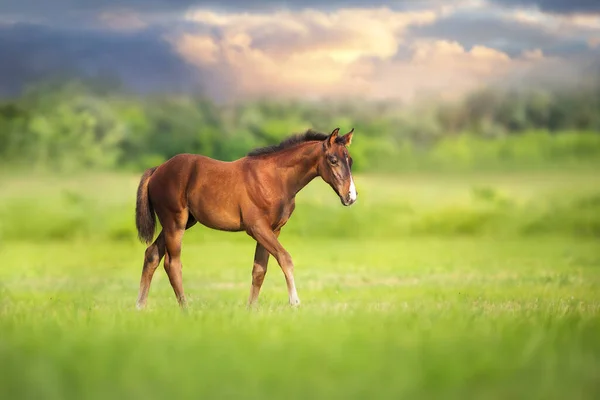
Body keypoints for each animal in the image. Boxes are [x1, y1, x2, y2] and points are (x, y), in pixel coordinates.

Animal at [135, 128, 356, 310]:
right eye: (333, 159)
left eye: (350, 160)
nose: (351, 197)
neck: (274, 179)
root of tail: (158, 169)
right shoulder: (257, 227)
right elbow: (285, 258)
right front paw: (295, 302)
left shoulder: (273, 229)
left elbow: (259, 270)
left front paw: (251, 310)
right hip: (175, 222)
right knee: (172, 263)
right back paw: (185, 309)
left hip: (182, 222)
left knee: (152, 254)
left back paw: (140, 306)